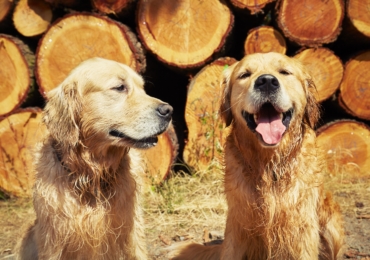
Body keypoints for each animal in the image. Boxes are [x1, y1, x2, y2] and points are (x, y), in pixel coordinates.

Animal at [15, 57, 173, 260]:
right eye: (120, 87)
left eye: (142, 88)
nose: (169, 110)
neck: (93, 175)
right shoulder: (54, 239)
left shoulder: (131, 231)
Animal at [172, 51, 346, 258]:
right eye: (245, 75)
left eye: (284, 72)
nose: (267, 81)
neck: (268, 165)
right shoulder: (237, 224)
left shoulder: (302, 227)